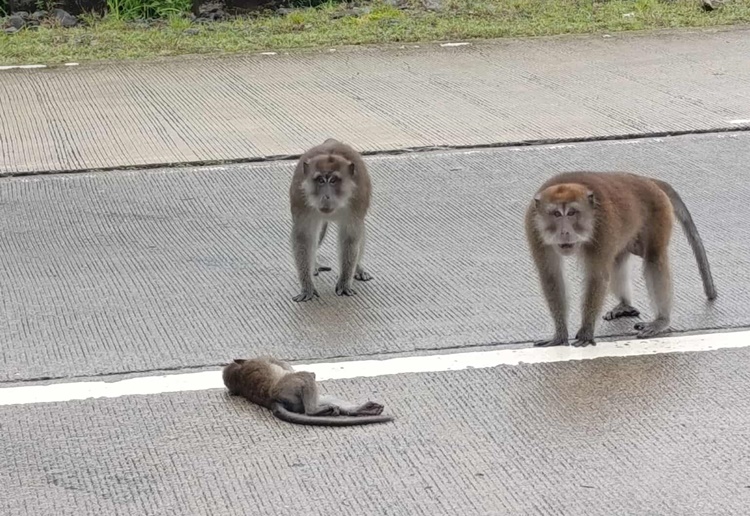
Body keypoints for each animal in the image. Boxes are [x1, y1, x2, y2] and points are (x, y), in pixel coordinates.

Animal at [222, 356, 393, 426]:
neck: (238, 375)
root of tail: (273, 399)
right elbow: (284, 365)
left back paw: (360, 410)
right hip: (289, 385)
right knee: (306, 378)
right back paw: (314, 410)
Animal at [289, 138, 374, 302]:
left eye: (333, 180)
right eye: (321, 180)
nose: (326, 196)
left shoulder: (357, 200)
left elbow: (350, 237)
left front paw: (344, 282)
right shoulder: (300, 198)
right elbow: (304, 237)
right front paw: (307, 286)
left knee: (360, 231)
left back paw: (357, 268)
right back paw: (314, 265)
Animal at [525, 171, 716, 347]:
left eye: (572, 213)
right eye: (556, 214)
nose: (564, 232)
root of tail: (644, 179)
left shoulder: (602, 227)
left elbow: (597, 276)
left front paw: (586, 331)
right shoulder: (534, 229)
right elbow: (551, 276)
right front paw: (560, 334)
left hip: (658, 210)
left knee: (653, 257)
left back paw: (661, 320)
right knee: (618, 259)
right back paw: (625, 305)